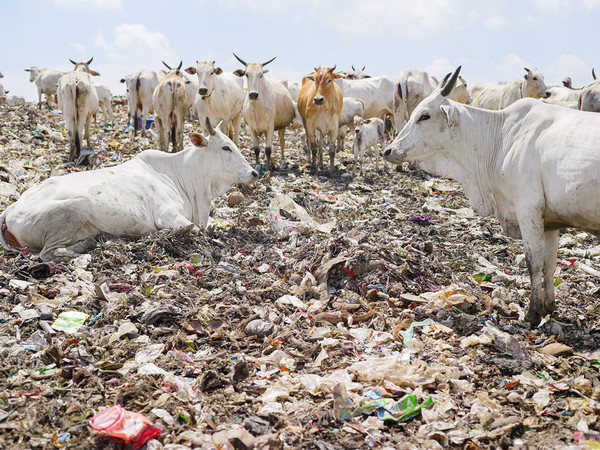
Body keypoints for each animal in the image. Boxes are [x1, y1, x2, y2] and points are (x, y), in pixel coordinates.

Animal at [0, 121, 258, 262]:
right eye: (226, 147)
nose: (254, 173)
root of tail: (10, 210)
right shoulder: (168, 215)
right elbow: (194, 230)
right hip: (74, 209)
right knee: (48, 254)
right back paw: (86, 248)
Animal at [384, 67, 600, 326]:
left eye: (424, 116)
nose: (388, 150)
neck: (501, 136)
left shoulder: (528, 209)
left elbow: (534, 264)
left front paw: (532, 313)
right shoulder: (551, 222)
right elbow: (549, 266)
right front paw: (549, 307)